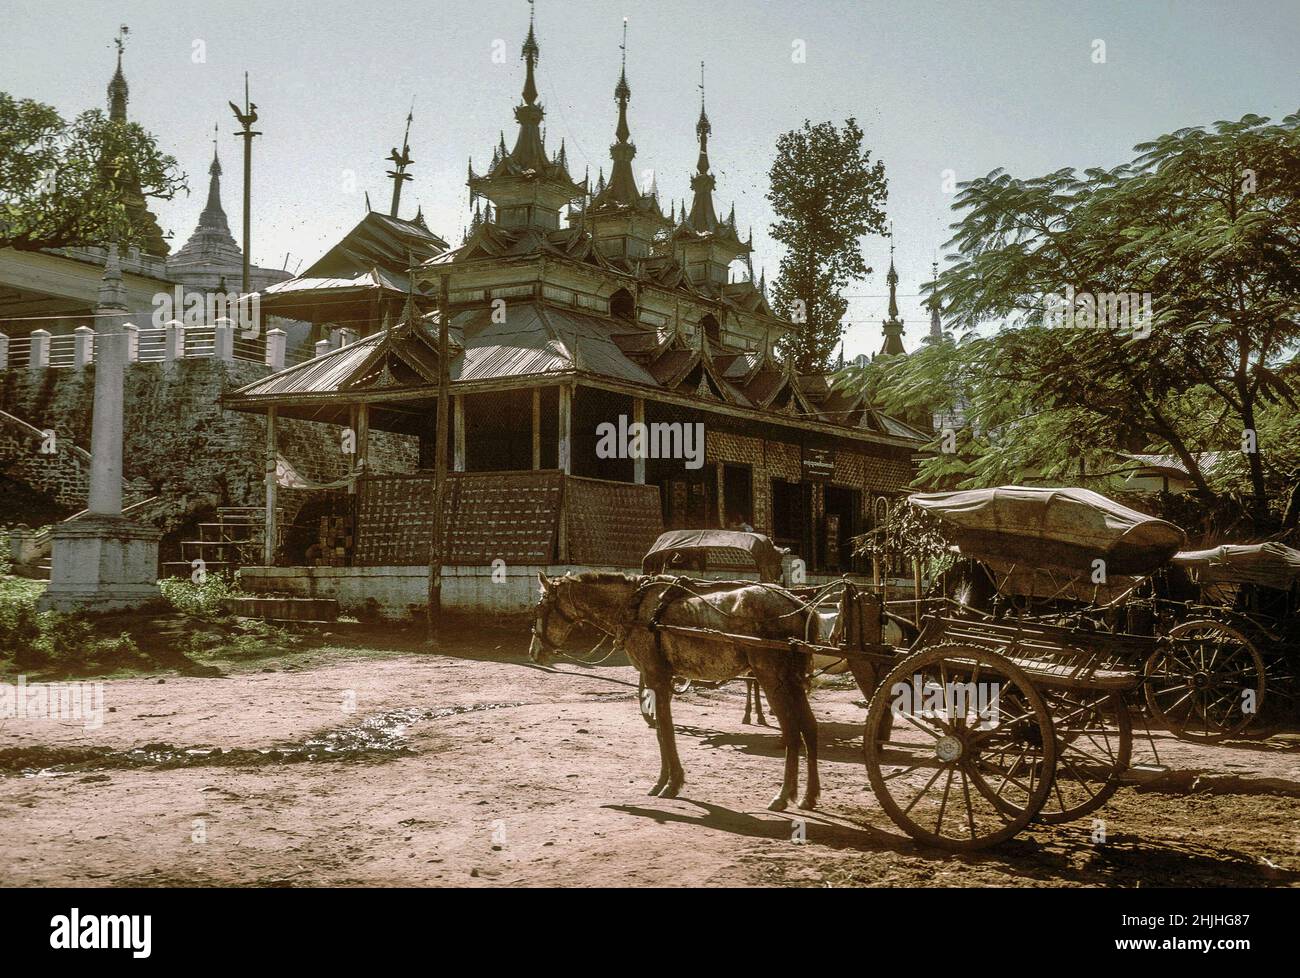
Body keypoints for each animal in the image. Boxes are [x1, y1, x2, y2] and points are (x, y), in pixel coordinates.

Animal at [530, 569, 821, 811]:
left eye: (541, 607)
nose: (534, 652)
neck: (635, 607)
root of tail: (797, 604)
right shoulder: (659, 680)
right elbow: (662, 731)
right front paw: (666, 780)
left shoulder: (656, 677)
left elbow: (665, 732)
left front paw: (670, 783)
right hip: (792, 680)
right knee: (809, 728)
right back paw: (809, 796)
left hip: (772, 678)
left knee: (792, 732)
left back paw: (783, 795)